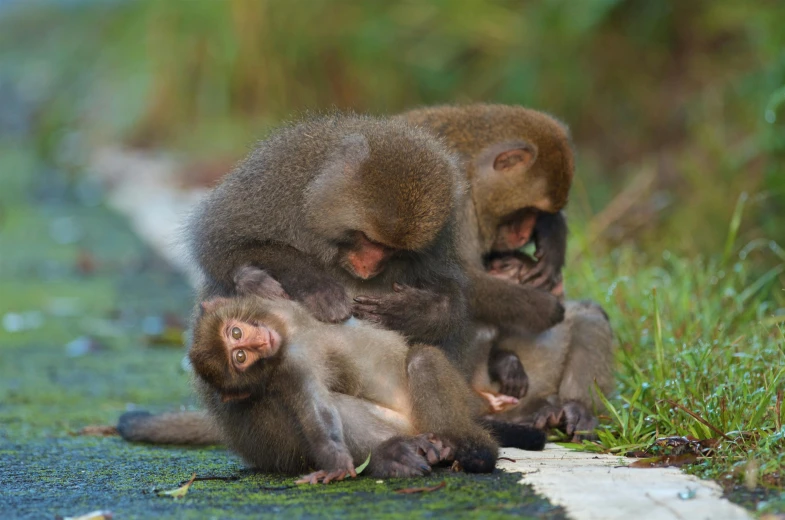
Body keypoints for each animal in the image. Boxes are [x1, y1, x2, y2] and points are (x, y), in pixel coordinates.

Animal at [190, 268, 544, 484]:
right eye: (240, 358)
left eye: (236, 333)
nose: (258, 343)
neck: (287, 334)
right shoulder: (288, 368)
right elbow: (317, 410)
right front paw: (336, 463)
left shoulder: (279, 311)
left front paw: (248, 281)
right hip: (406, 425)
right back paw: (403, 452)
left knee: (422, 360)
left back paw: (474, 450)